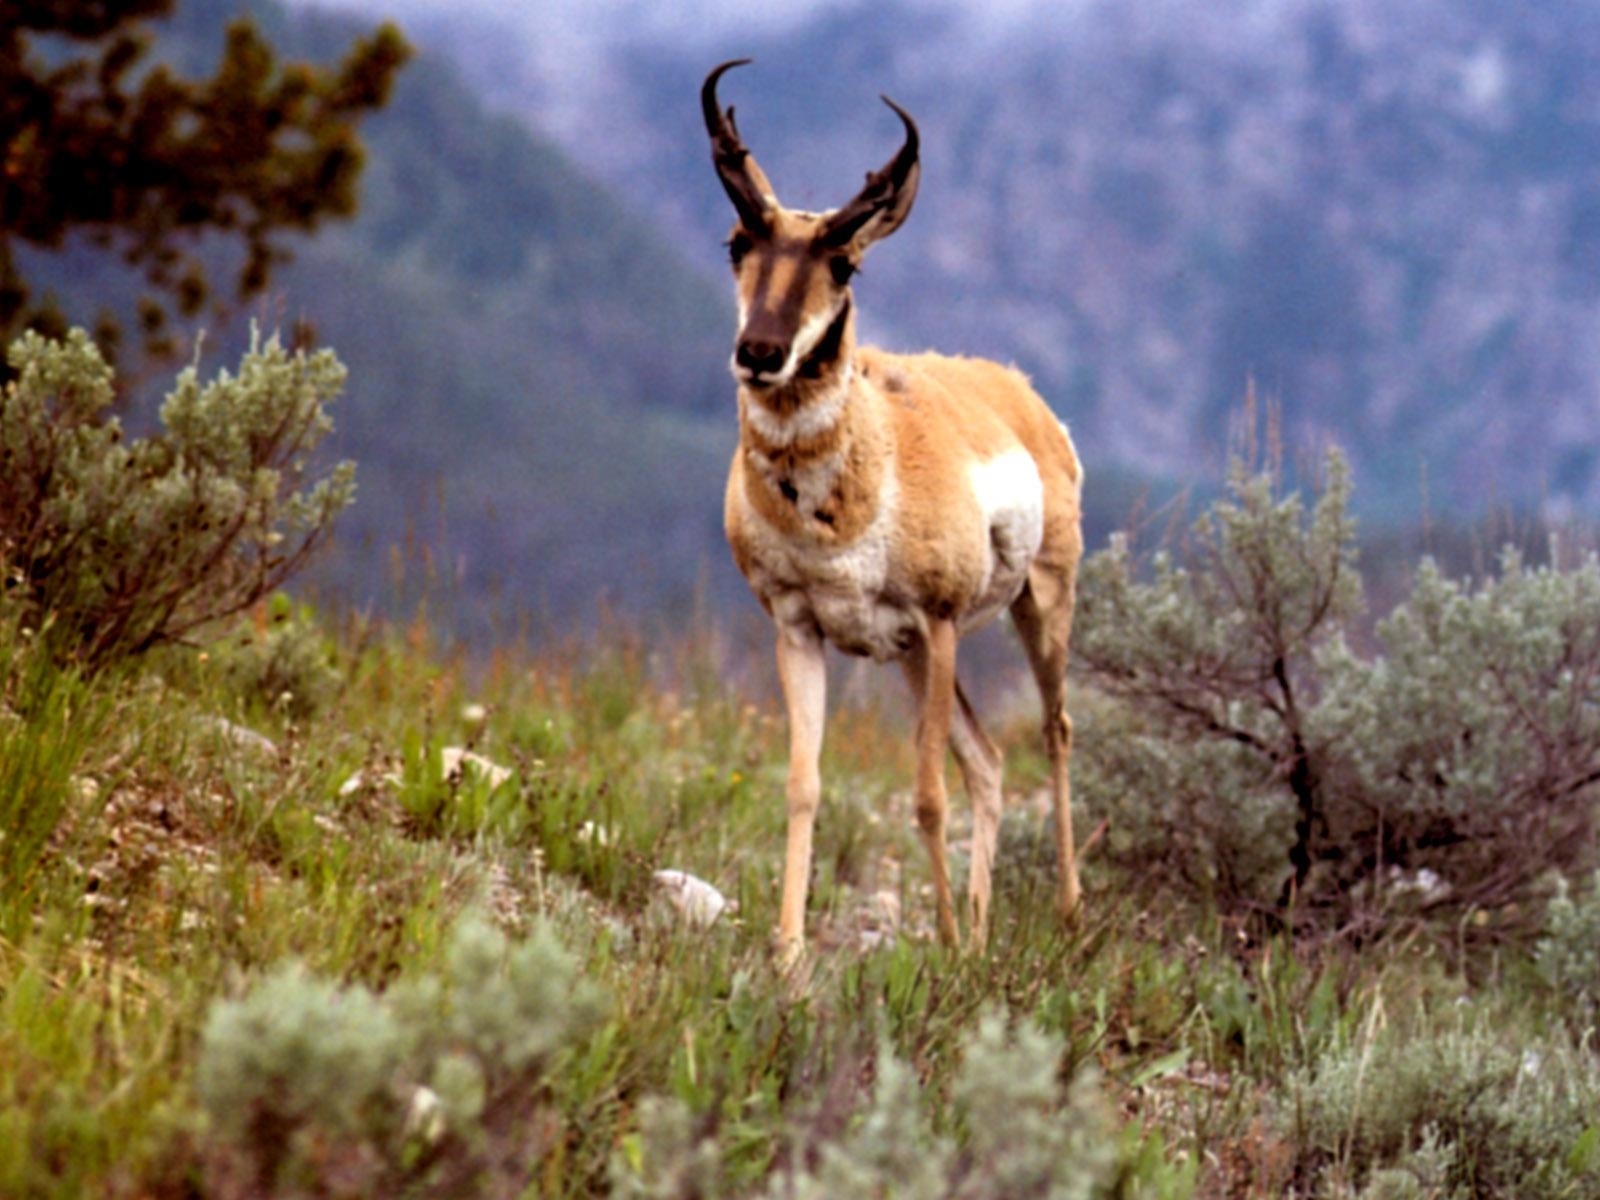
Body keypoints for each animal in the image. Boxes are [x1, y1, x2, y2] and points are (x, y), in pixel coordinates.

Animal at [704, 61, 1088, 960]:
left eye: (844, 264)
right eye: (739, 243)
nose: (761, 353)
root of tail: (1017, 389)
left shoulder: (938, 622)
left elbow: (926, 796)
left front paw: (939, 946)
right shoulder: (798, 629)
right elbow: (804, 785)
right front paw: (787, 954)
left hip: (1036, 605)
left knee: (1051, 732)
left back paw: (1063, 913)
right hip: (912, 657)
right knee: (988, 760)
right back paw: (980, 931)